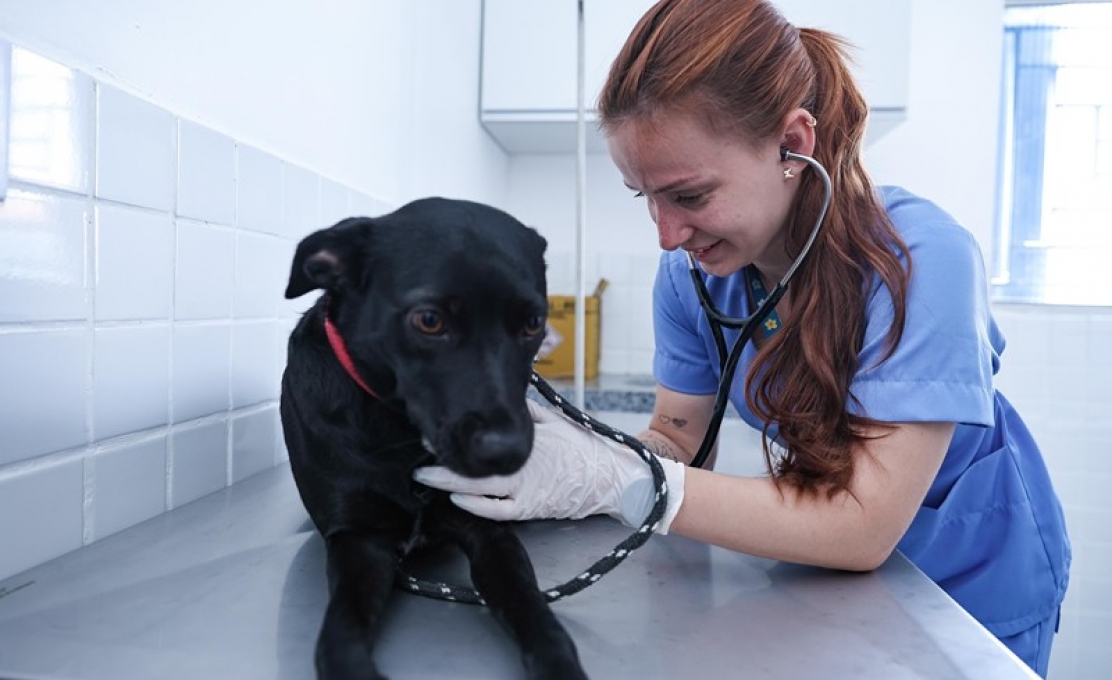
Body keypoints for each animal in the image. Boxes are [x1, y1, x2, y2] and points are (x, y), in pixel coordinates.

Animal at [282, 197, 587, 680]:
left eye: (533, 322)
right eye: (429, 320)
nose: (507, 452)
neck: (402, 441)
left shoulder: (489, 533)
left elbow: (533, 608)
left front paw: (559, 664)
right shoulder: (359, 540)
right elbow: (341, 626)